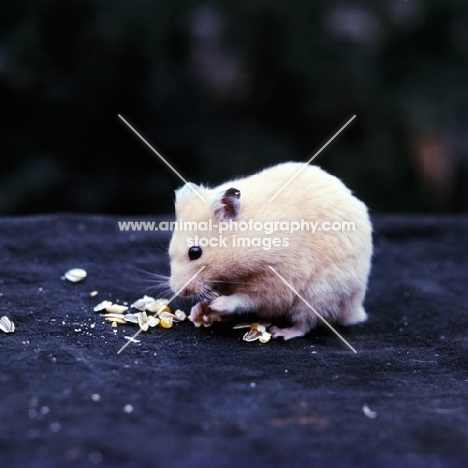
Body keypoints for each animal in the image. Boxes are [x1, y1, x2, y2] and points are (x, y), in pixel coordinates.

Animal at [168, 162, 372, 340]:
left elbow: (247, 298)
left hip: (320, 293)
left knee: (306, 322)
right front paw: (198, 311)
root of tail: (356, 309)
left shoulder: (275, 282)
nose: (179, 291)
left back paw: (281, 332)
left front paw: (219, 304)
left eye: (195, 252)